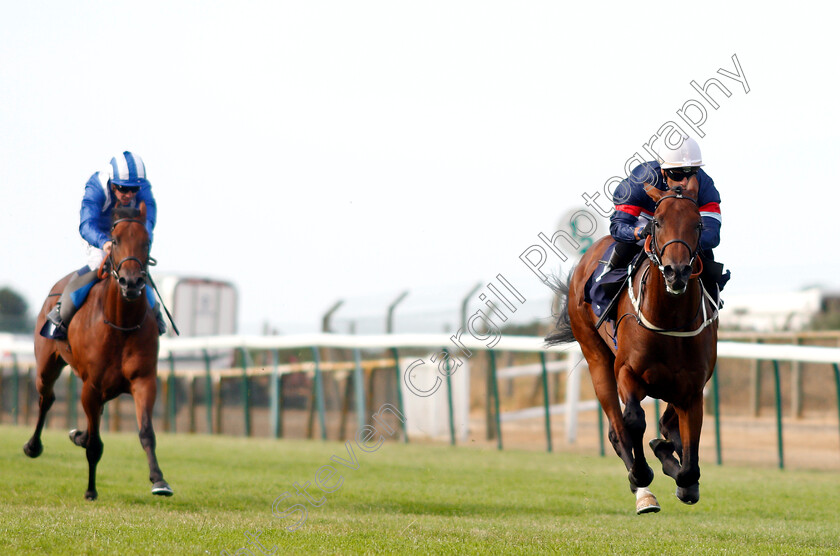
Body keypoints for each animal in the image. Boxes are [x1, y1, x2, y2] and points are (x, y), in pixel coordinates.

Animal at [24, 203, 173, 500]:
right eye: (114, 240)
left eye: (147, 241)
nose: (131, 282)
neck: (121, 323)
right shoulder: (91, 386)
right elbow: (94, 445)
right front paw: (91, 489)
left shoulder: (143, 380)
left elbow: (146, 432)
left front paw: (159, 480)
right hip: (47, 365)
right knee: (46, 399)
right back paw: (33, 446)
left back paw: (77, 435)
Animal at [548, 181, 720, 512]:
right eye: (657, 222)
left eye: (698, 224)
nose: (676, 272)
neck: (669, 320)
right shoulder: (628, 372)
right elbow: (633, 422)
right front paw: (642, 474)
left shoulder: (692, 387)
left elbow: (687, 453)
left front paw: (680, 474)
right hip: (596, 357)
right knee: (617, 429)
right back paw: (643, 491)